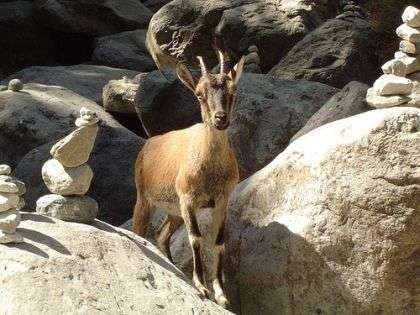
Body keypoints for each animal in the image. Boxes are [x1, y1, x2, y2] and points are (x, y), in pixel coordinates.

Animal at [131, 51, 243, 308]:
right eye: (199, 93)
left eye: (233, 91)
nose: (220, 119)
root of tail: (148, 145)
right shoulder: (187, 199)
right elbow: (196, 238)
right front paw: (201, 286)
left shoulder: (221, 201)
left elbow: (218, 242)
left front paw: (221, 294)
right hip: (145, 199)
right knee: (140, 230)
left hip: (174, 212)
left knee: (161, 235)